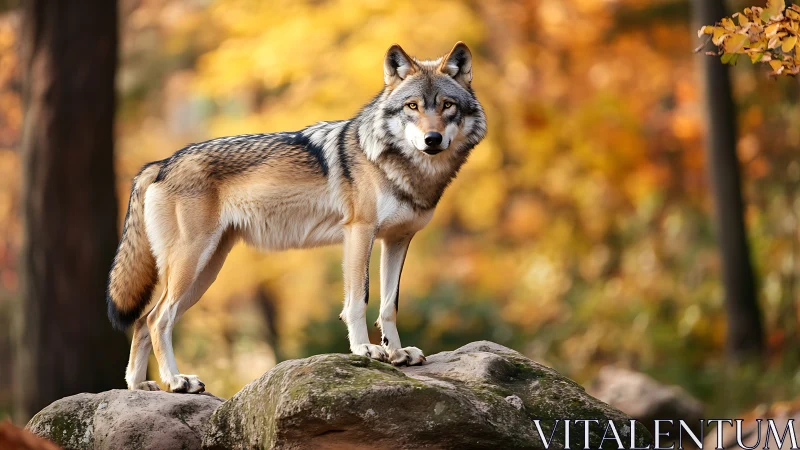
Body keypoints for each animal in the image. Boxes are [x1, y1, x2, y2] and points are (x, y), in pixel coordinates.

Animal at [106, 42, 487, 393]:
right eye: (413, 106)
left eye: (447, 105)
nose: (432, 139)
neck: (399, 167)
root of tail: (160, 164)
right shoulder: (359, 232)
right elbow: (358, 300)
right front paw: (364, 349)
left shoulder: (397, 239)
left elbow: (389, 305)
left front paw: (396, 354)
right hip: (192, 264)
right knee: (158, 319)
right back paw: (176, 381)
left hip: (206, 272)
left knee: (142, 321)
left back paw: (139, 386)